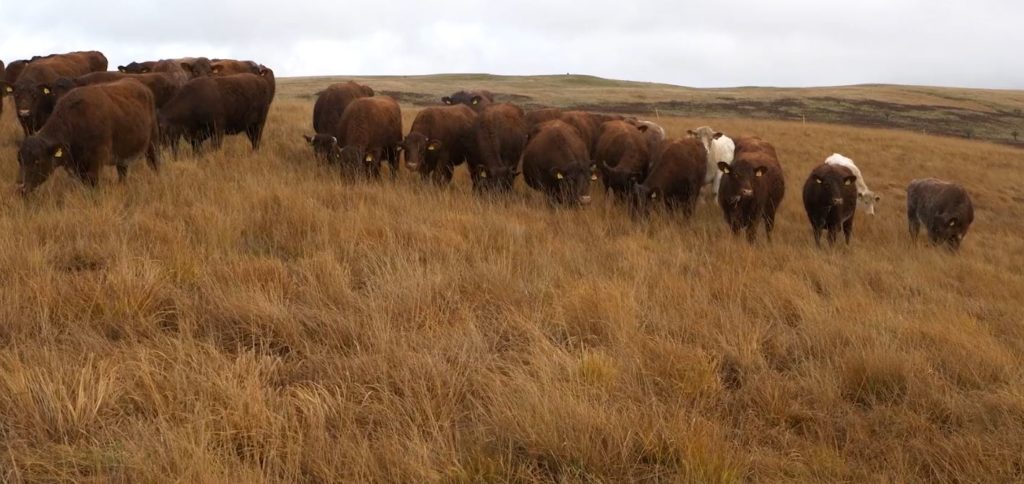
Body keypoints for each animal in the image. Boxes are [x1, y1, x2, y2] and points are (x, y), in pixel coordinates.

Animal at [14, 79, 159, 192]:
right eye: (20, 160)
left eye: (37, 161)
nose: (21, 188)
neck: (76, 121)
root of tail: (145, 89)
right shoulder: (78, 167)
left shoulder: (96, 162)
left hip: (152, 146)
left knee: (154, 164)